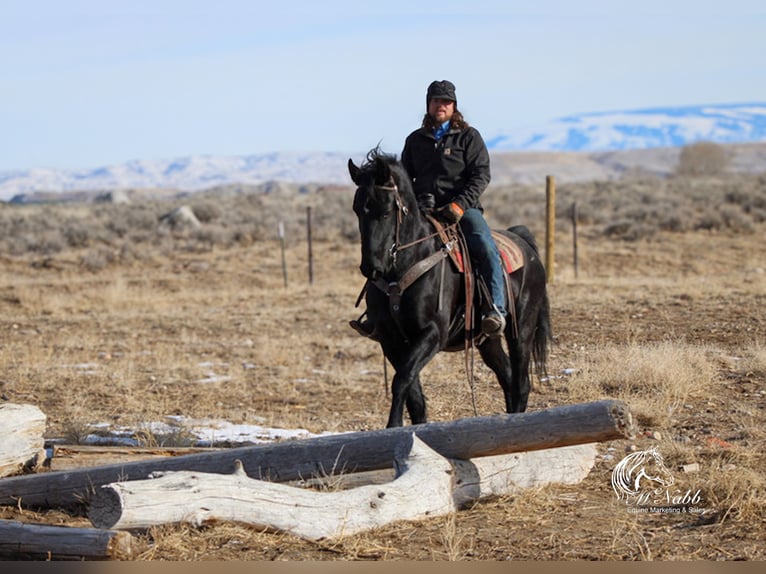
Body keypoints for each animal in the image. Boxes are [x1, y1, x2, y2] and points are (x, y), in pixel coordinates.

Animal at [352, 151, 556, 430]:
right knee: (507, 376)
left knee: (521, 383)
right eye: (357, 210)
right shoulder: (390, 339)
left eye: (386, 210)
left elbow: (402, 379)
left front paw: (393, 426)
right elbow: (413, 392)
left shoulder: (433, 334)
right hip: (488, 340)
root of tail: (525, 245)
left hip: (521, 330)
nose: (371, 267)